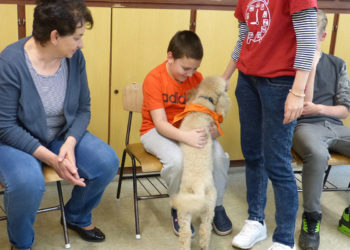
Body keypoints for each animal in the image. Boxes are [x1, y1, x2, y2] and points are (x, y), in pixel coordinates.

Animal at [172, 75, 231, 249]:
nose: (227, 80)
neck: (203, 103)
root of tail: (198, 185)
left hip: (186, 207)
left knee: (187, 234)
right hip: (208, 205)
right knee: (204, 231)